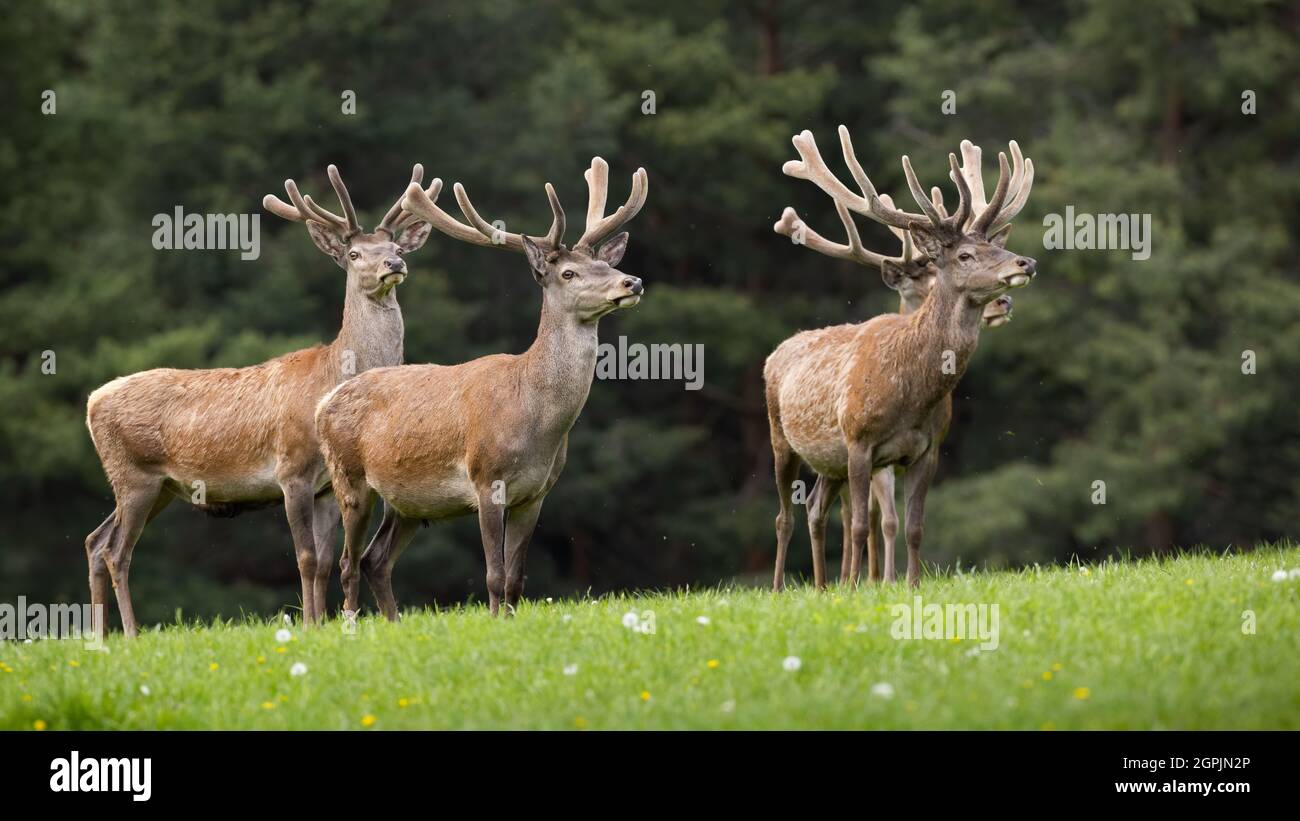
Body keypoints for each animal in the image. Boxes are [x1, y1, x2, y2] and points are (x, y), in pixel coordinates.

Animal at [83, 163, 434, 631]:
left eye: (394, 245)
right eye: (355, 254)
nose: (394, 263)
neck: (329, 379)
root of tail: (92, 401)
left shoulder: (325, 487)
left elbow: (324, 562)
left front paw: (318, 624)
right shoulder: (291, 469)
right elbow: (305, 557)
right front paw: (308, 624)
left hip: (156, 485)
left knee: (94, 539)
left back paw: (101, 632)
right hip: (133, 475)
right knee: (115, 550)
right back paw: (132, 633)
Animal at [315, 155, 650, 615]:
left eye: (606, 264)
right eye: (568, 272)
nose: (631, 281)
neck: (535, 418)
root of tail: (324, 404)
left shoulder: (537, 493)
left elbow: (515, 579)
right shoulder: (486, 480)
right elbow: (492, 576)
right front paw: (494, 622)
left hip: (408, 502)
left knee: (374, 560)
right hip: (349, 478)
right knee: (348, 563)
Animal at [769, 126, 1034, 589]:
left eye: (995, 245)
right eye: (965, 255)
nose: (1026, 263)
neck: (912, 394)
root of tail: (775, 353)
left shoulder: (927, 451)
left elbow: (914, 526)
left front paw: (909, 585)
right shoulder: (859, 443)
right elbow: (863, 524)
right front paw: (856, 588)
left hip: (828, 462)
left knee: (816, 507)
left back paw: (820, 587)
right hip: (781, 438)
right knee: (785, 516)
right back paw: (782, 587)